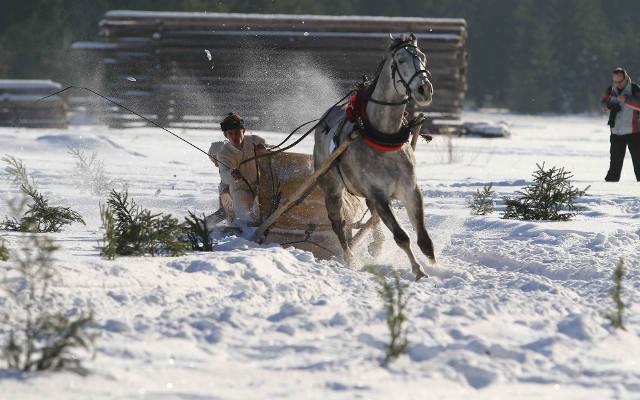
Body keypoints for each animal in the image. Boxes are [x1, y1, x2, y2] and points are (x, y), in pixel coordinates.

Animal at [314, 32, 436, 280]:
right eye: (400, 60)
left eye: (422, 56)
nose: (424, 89)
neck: (383, 137)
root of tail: (324, 120)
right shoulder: (379, 195)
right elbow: (401, 236)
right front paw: (418, 270)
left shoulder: (410, 190)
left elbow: (424, 239)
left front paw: (434, 265)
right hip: (331, 188)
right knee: (338, 223)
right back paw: (350, 257)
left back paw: (375, 244)